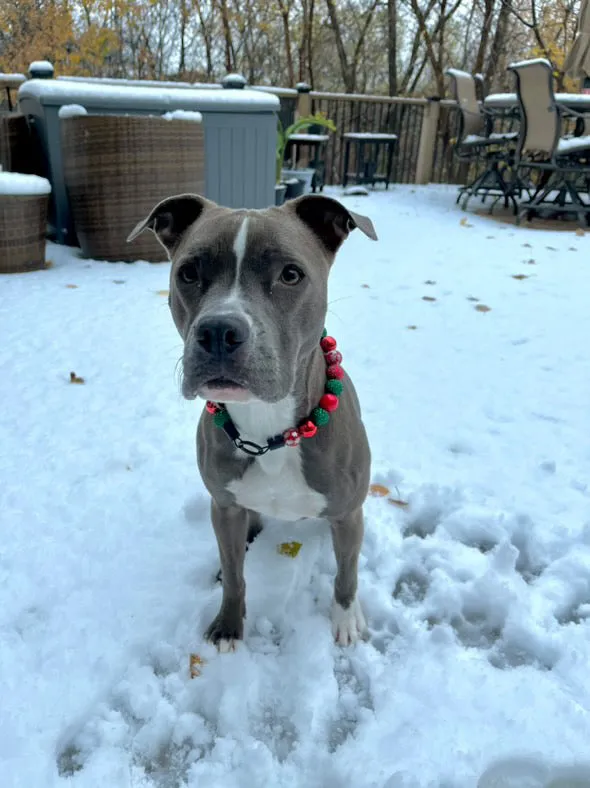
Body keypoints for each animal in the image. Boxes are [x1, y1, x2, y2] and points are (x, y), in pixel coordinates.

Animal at [130, 194, 380, 648]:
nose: (218, 331)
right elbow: (235, 577)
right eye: (188, 272)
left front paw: (346, 619)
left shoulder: (348, 514)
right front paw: (229, 625)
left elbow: (347, 572)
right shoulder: (225, 508)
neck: (268, 429)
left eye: (291, 274)